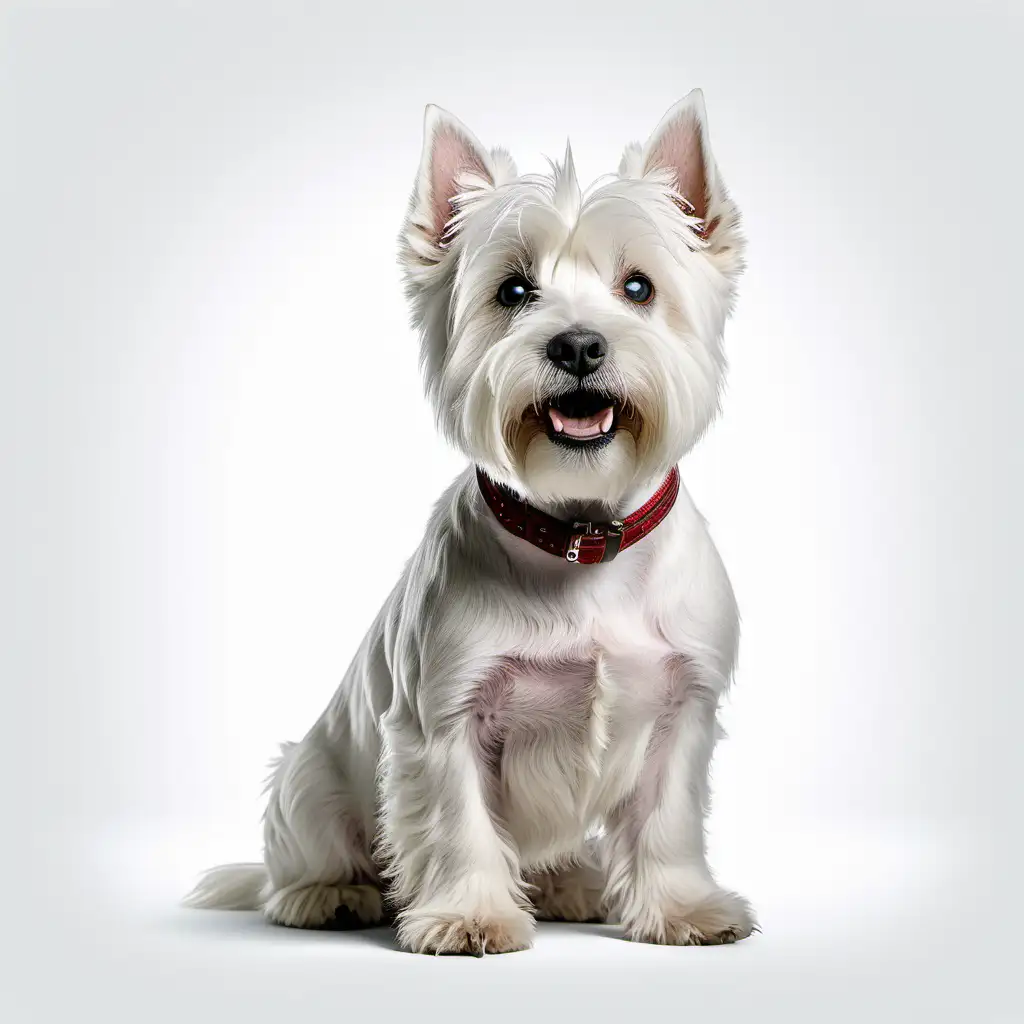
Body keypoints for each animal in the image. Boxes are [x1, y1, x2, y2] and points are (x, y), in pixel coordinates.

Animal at [188, 92, 757, 954]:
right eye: (514, 292)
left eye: (638, 287)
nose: (578, 345)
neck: (583, 540)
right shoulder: (443, 720)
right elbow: (459, 825)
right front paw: (468, 915)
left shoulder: (681, 706)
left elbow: (665, 821)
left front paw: (684, 909)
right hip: (306, 779)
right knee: (300, 861)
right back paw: (330, 894)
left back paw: (572, 885)